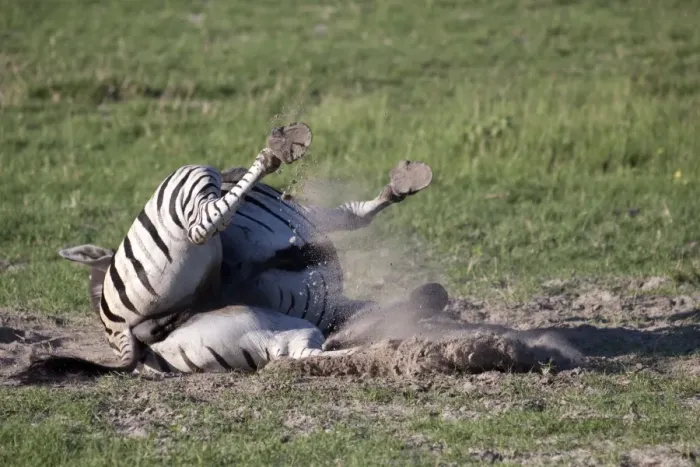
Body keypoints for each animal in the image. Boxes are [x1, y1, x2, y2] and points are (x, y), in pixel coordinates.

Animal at [17, 122, 446, 378]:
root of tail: (120, 336)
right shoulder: (305, 215)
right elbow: (355, 216)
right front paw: (405, 183)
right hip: (190, 181)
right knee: (201, 225)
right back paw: (276, 150)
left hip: (269, 330)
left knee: (301, 351)